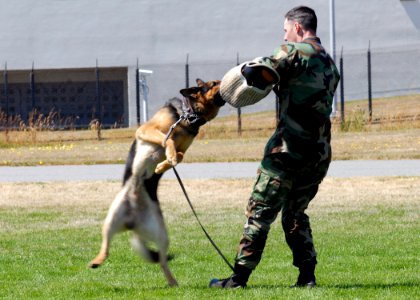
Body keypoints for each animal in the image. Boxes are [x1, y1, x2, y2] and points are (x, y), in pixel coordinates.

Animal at [88, 79, 225, 286]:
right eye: (214, 83)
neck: (188, 115)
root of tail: (133, 222)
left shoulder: (183, 148)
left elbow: (180, 155)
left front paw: (161, 166)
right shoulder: (146, 130)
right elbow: (167, 140)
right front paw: (166, 158)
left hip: (161, 235)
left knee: (161, 260)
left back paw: (172, 281)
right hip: (111, 220)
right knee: (106, 246)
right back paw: (97, 260)